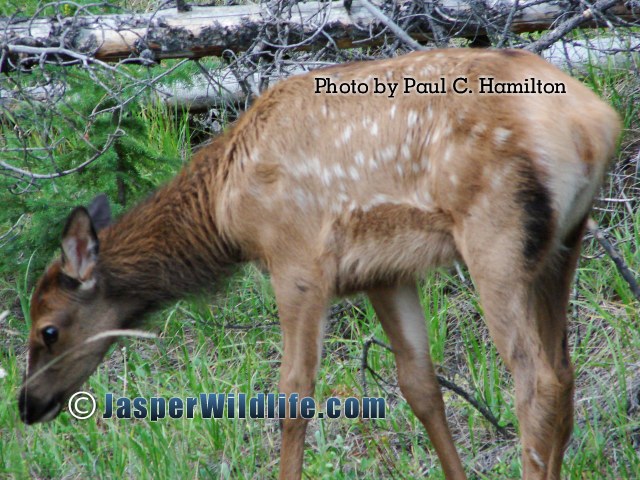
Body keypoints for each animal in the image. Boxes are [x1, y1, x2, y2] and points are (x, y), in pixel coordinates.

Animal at [18, 49, 620, 480]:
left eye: (47, 329)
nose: (26, 404)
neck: (226, 210)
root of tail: (596, 124)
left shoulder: (296, 258)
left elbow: (293, 394)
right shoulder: (384, 272)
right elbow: (419, 385)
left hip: (496, 235)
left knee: (536, 382)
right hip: (564, 244)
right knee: (564, 375)